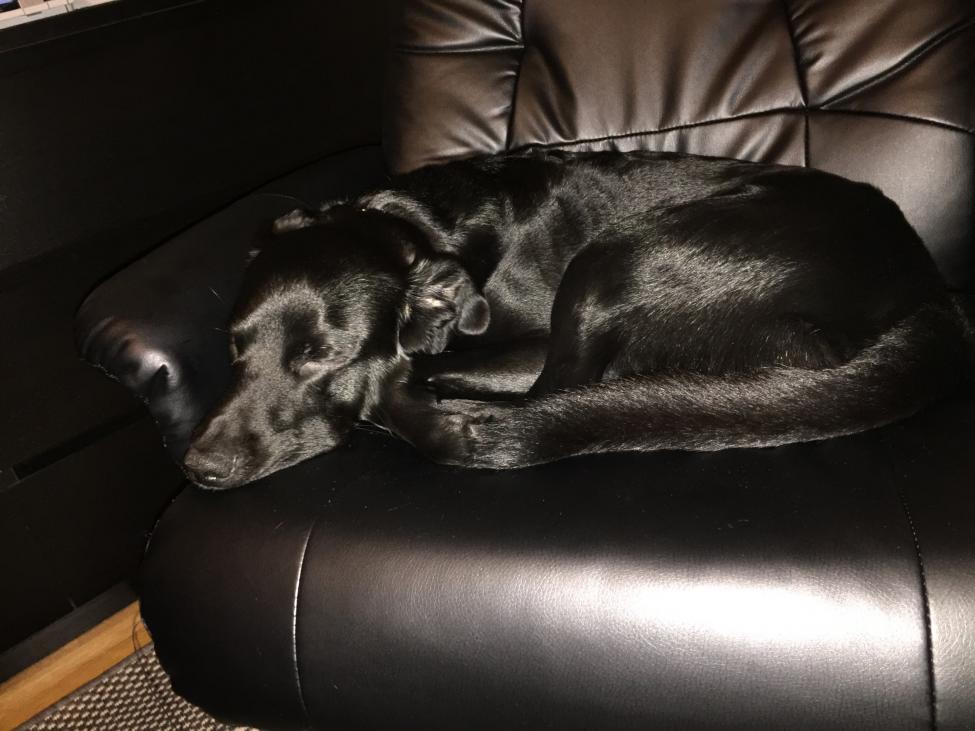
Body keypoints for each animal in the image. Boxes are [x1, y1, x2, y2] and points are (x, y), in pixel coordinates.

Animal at [181, 149, 971, 488]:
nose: (199, 468)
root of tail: (929, 286)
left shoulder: (525, 337)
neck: (412, 226)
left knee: (557, 396)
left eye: (322, 355)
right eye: (233, 346)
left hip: (613, 260)